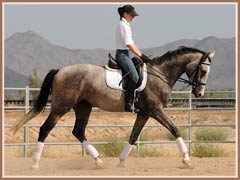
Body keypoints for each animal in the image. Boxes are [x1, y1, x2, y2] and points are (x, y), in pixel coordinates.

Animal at [11, 46, 215, 169]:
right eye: (204, 70)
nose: (200, 94)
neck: (160, 75)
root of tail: (60, 70)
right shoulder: (155, 110)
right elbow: (174, 129)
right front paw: (186, 159)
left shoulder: (144, 113)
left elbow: (133, 136)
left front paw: (122, 161)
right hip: (61, 107)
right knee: (45, 129)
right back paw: (35, 164)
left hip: (83, 107)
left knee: (78, 131)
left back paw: (99, 161)